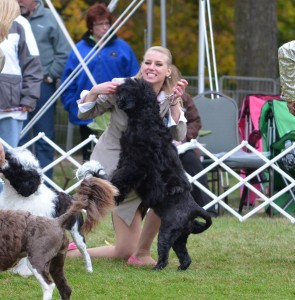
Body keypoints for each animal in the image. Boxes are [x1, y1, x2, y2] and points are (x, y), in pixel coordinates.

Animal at [112, 78, 214, 270]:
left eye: (130, 88)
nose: (118, 92)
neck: (146, 119)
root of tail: (194, 209)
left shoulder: (136, 164)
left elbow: (120, 177)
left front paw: (114, 191)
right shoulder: (126, 157)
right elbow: (119, 174)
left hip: (167, 232)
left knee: (164, 254)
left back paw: (156, 268)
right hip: (179, 238)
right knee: (185, 256)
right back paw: (180, 268)